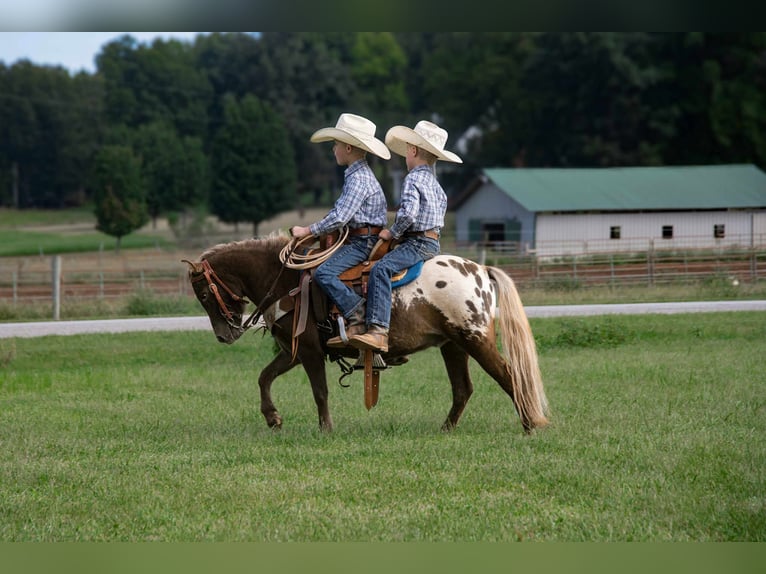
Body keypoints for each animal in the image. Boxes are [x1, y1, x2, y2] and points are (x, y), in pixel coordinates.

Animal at [183, 233, 549, 434]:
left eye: (203, 294)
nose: (224, 335)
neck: (288, 281)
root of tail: (480, 270)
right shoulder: (293, 351)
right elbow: (264, 377)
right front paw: (273, 418)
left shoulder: (310, 351)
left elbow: (320, 391)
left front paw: (325, 429)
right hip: (453, 345)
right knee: (463, 389)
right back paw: (445, 429)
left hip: (475, 339)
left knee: (508, 376)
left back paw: (530, 423)